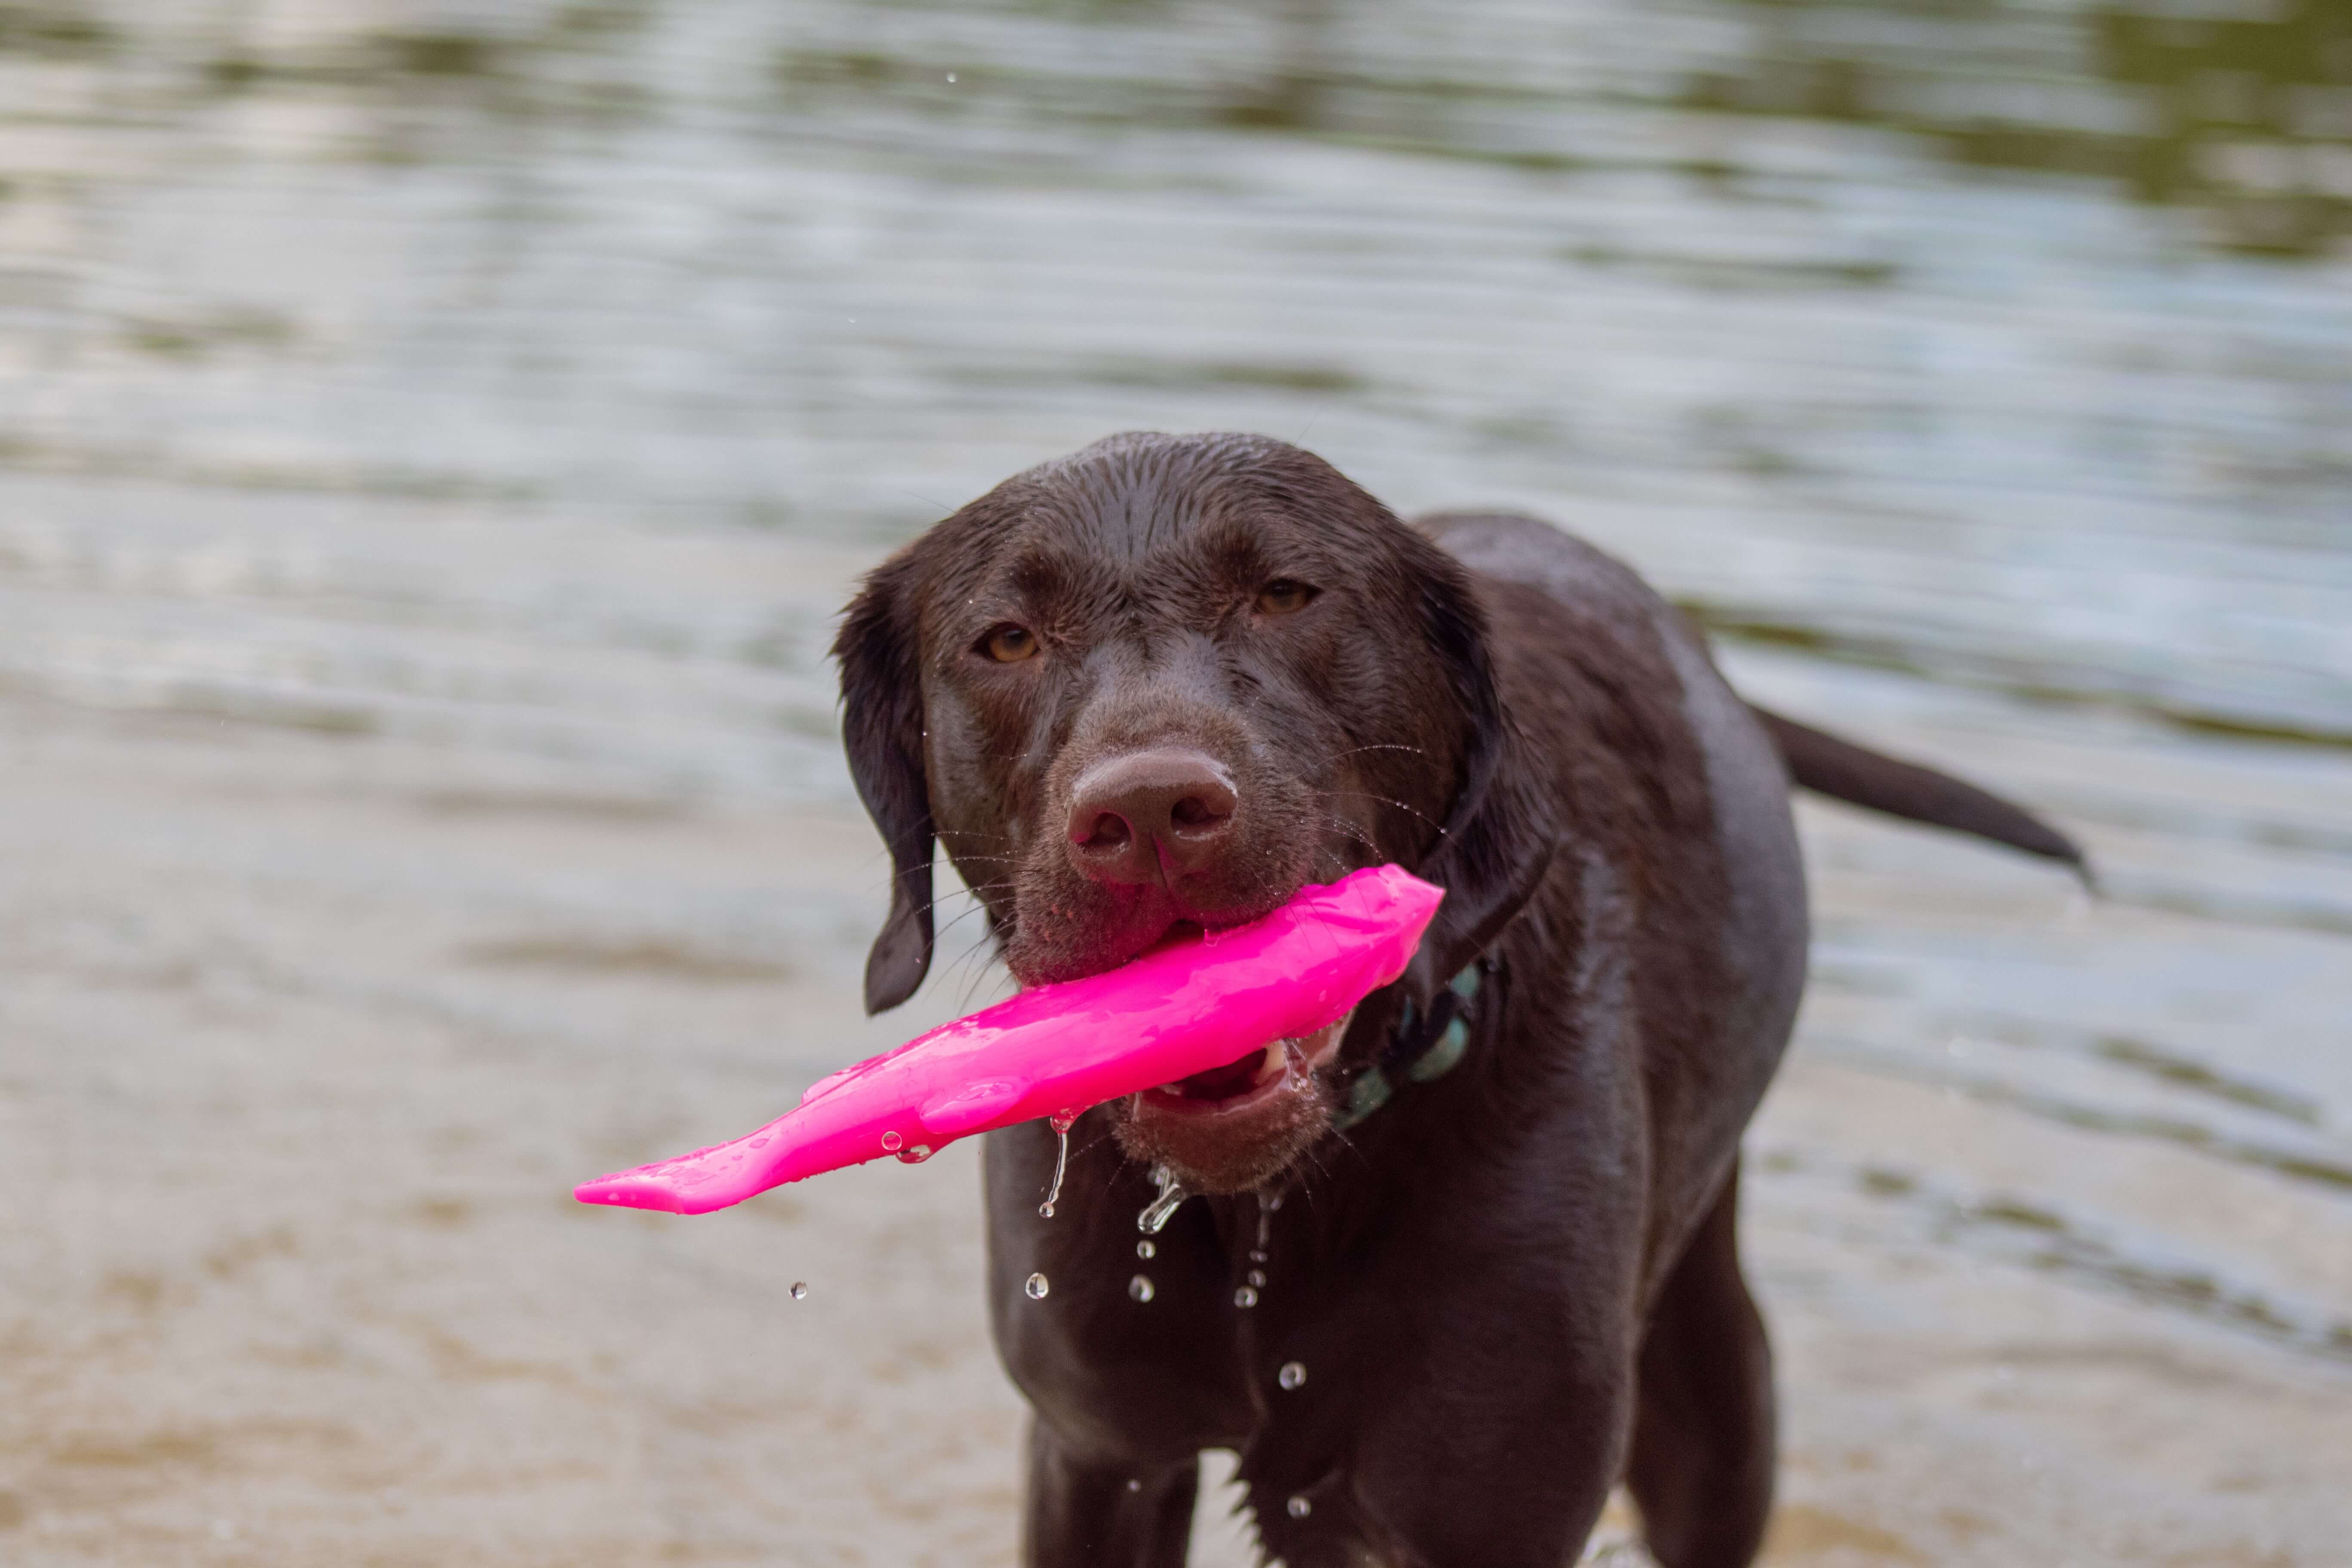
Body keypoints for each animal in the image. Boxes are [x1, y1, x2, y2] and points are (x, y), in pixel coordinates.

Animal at [828, 435, 2079, 1568]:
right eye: (1006, 640)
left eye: (1285, 594)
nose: (1145, 811)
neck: (1276, 1208)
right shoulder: (1100, 1453)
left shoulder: (1490, 1500)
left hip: (1710, 1389)